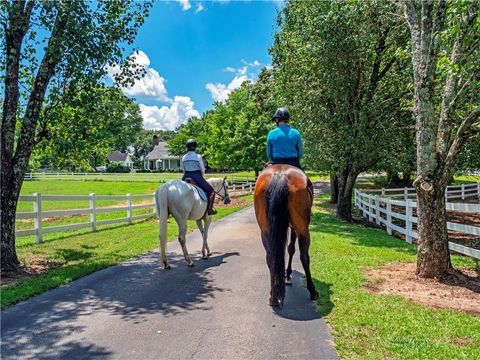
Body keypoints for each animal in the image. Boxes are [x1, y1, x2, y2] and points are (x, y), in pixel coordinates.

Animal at [253, 165, 316, 306]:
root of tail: (280, 175)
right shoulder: (293, 228)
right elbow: (291, 249)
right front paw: (288, 275)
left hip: (265, 231)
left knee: (270, 257)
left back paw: (273, 297)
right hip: (302, 228)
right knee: (304, 256)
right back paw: (312, 291)